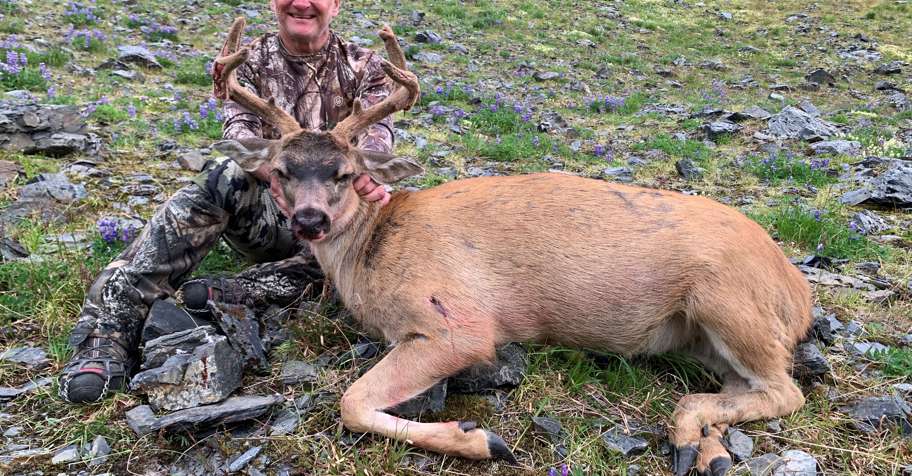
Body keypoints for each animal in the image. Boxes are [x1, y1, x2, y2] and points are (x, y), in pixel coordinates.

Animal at [212, 17, 812, 476]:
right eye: (281, 171)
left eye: (344, 173)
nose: (310, 220)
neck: (374, 249)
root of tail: (797, 289)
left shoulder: (461, 323)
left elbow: (352, 401)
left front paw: (481, 439)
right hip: (706, 339)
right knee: (737, 389)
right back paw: (705, 447)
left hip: (727, 304)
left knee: (788, 392)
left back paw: (693, 440)